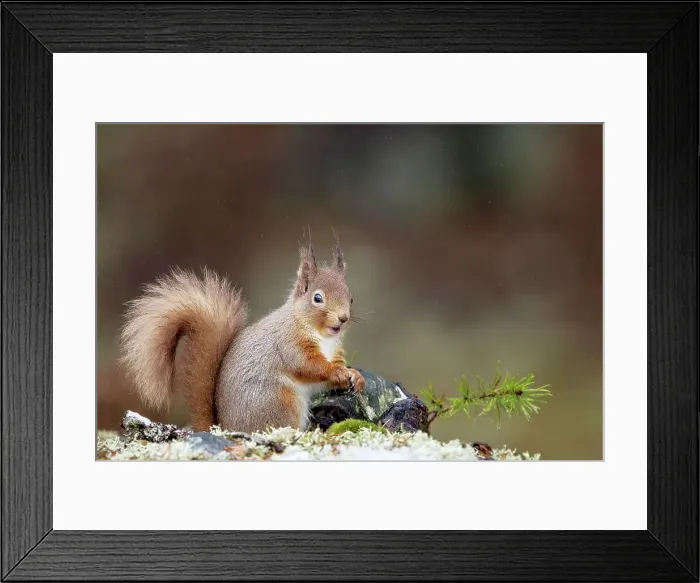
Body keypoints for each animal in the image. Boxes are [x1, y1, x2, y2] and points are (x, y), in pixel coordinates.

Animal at [118, 239, 365, 434]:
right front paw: (336, 372)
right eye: (317, 298)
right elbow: (308, 365)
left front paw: (354, 375)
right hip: (278, 400)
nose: (343, 318)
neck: (322, 336)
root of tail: (225, 429)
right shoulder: (289, 343)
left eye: (351, 298)